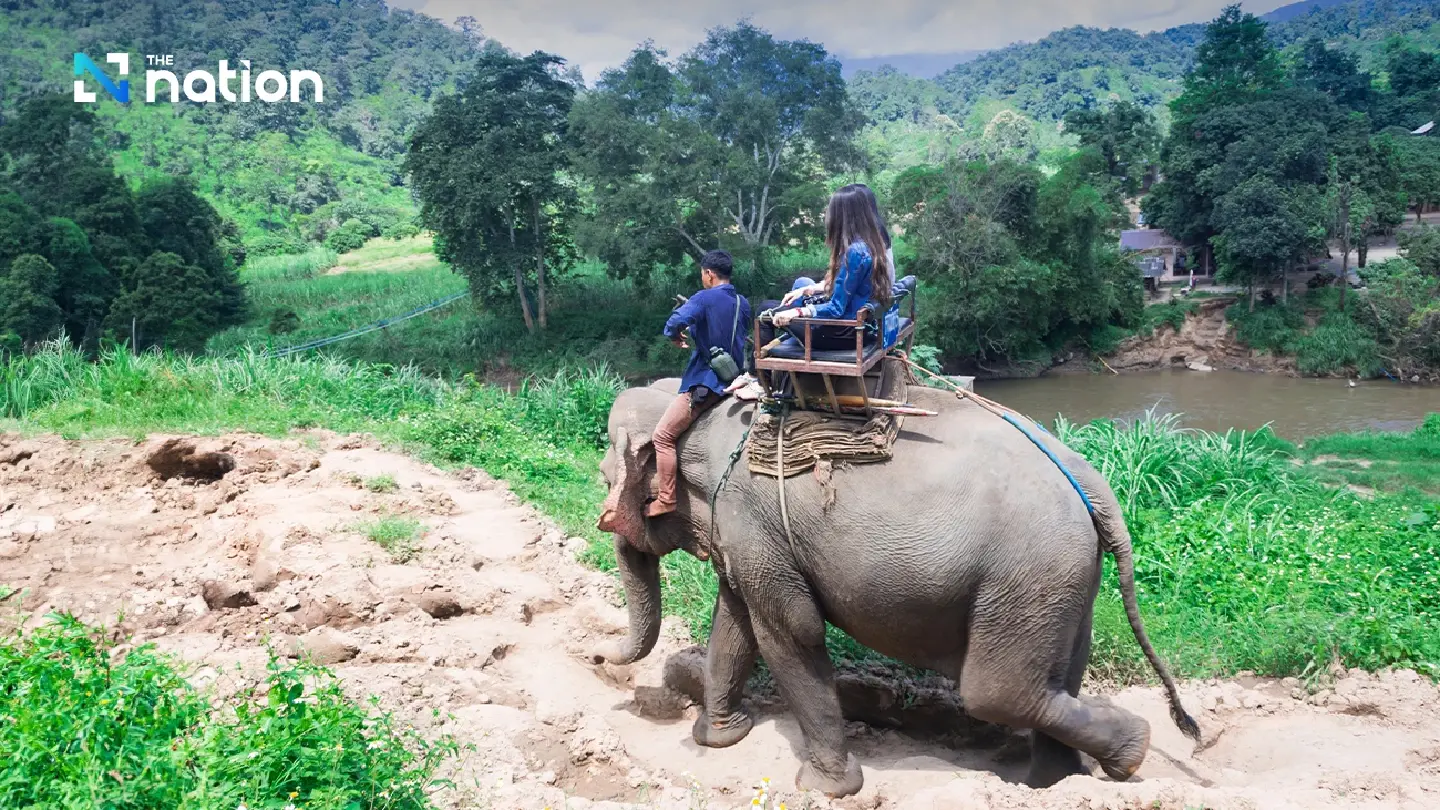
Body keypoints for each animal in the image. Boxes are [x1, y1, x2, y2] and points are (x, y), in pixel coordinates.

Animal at [592, 377, 1200, 798]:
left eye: (604, 479)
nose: (596, 656)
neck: (699, 413)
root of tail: (1093, 483)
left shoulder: (753, 523)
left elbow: (791, 632)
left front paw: (823, 789)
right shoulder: (746, 537)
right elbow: (736, 621)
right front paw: (720, 737)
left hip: (1029, 575)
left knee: (998, 693)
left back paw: (1131, 751)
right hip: (1066, 581)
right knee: (1059, 675)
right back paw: (1054, 784)